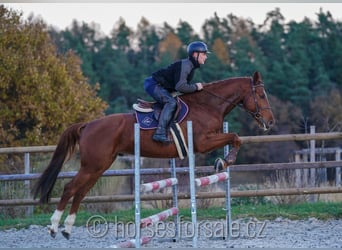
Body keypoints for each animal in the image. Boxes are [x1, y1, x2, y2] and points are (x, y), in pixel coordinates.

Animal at [31, 71, 272, 239]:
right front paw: (225, 161)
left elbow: (235, 137)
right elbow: (236, 137)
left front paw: (223, 161)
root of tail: (87, 124)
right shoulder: (203, 142)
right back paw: (54, 227)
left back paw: (67, 229)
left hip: (99, 166)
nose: (270, 122)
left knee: (80, 192)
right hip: (92, 166)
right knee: (70, 188)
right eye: (261, 95)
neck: (208, 105)